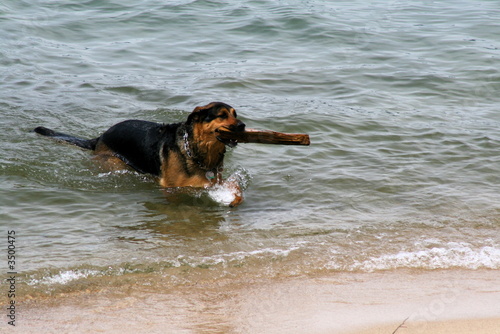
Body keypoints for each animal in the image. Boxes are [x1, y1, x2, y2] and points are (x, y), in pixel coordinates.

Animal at [33, 102, 246, 206]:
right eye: (222, 115)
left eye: (235, 114)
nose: (243, 126)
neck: (195, 148)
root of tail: (100, 136)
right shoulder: (173, 186)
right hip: (114, 163)